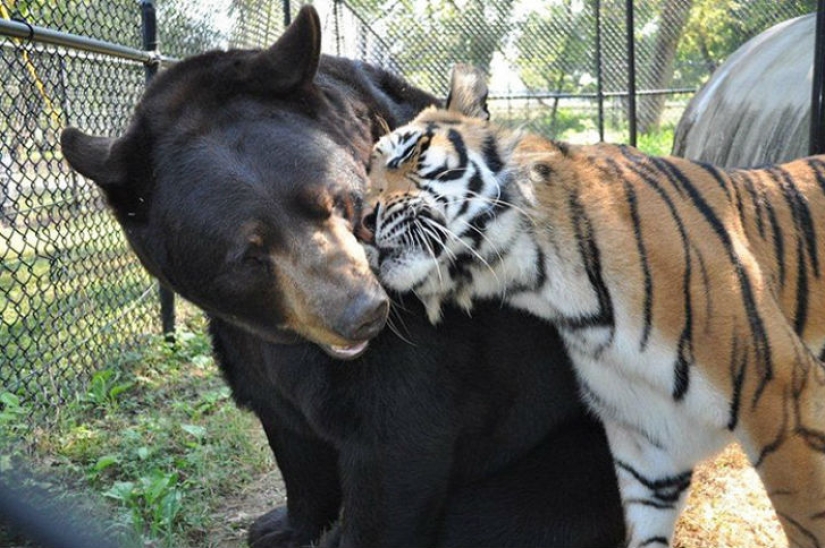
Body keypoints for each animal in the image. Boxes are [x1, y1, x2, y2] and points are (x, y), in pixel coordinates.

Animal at [362, 65, 825, 548]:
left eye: (410, 154)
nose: (361, 222)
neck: (545, 284)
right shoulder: (648, 451)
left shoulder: (784, 398)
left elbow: (809, 522)